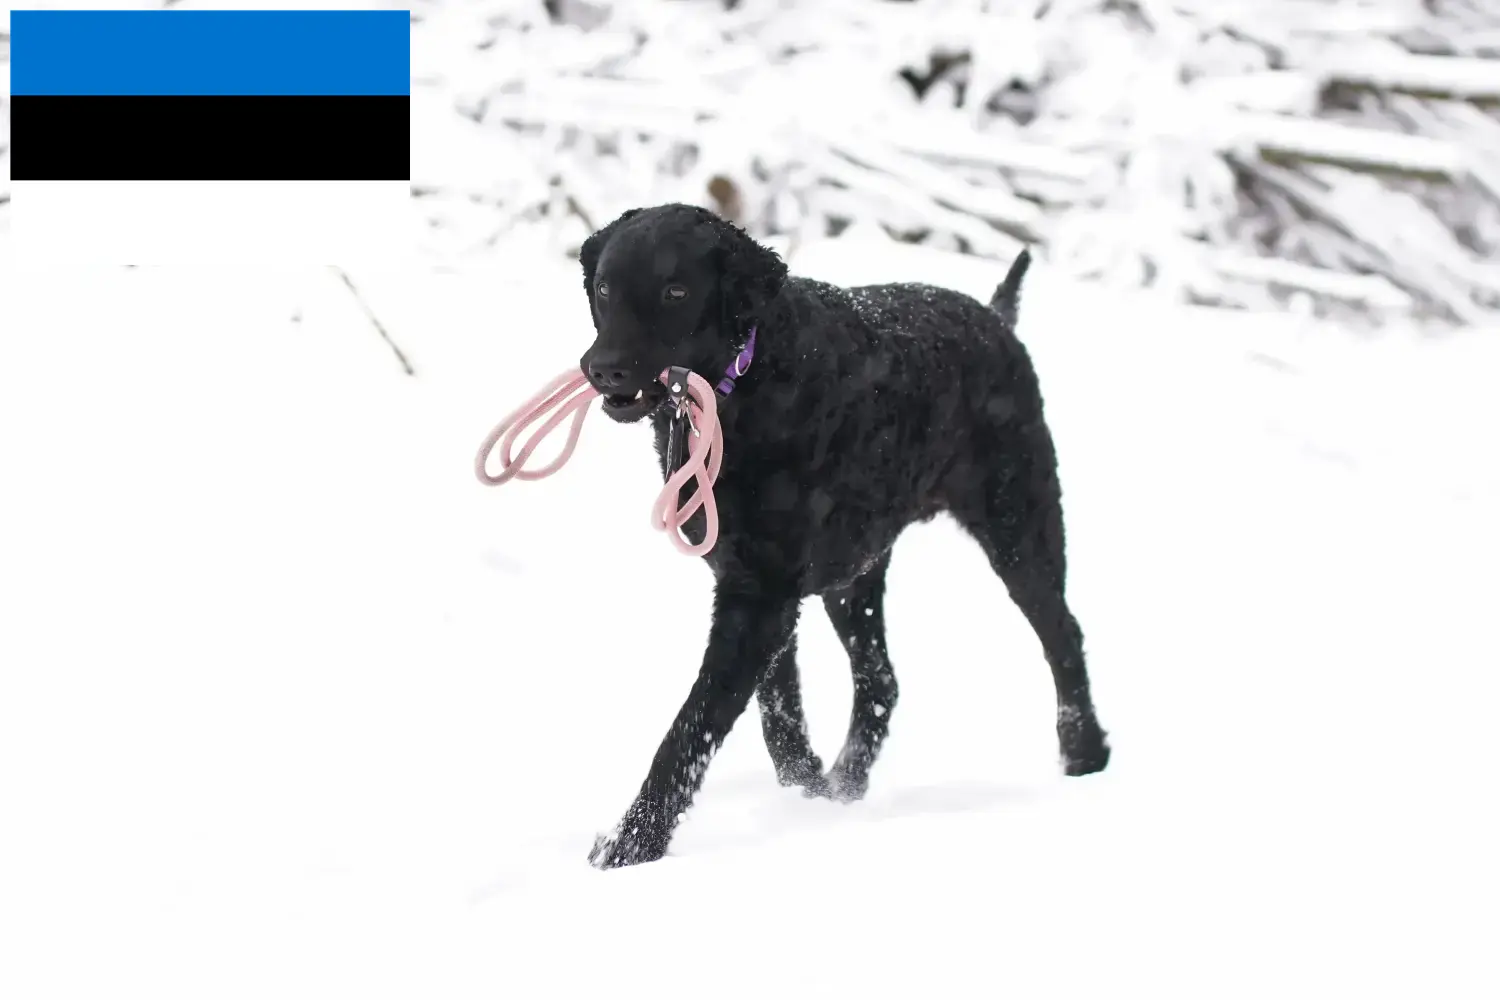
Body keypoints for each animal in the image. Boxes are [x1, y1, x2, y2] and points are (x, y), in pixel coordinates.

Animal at [579, 203, 1110, 869]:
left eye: (675, 291)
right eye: (605, 289)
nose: (603, 368)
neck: (751, 385)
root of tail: (994, 317)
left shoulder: (761, 597)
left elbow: (692, 726)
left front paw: (631, 845)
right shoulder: (754, 584)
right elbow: (776, 708)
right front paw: (803, 787)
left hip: (1020, 529)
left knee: (1063, 635)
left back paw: (1085, 754)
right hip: (853, 574)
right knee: (881, 680)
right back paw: (845, 785)